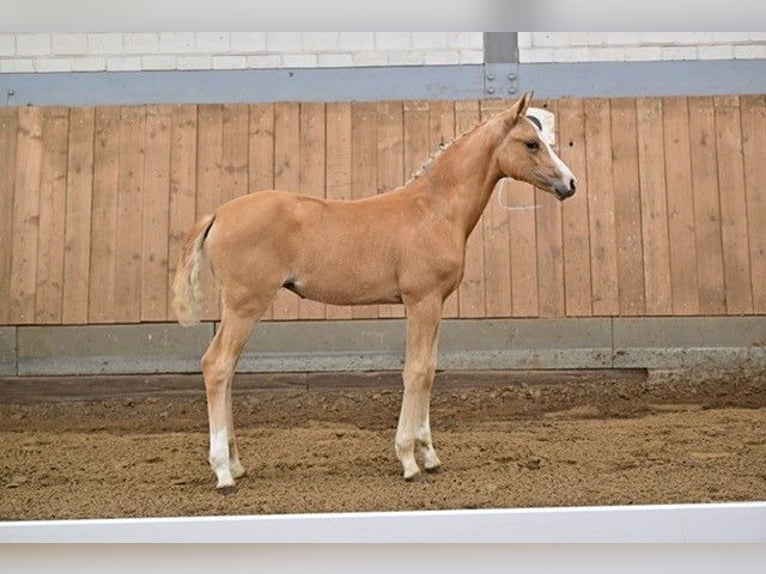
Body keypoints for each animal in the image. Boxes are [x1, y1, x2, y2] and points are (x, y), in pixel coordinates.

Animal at [172, 92, 577, 492]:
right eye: (531, 143)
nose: (570, 183)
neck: (434, 210)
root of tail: (217, 214)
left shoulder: (436, 304)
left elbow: (430, 369)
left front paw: (430, 456)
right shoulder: (421, 301)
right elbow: (415, 371)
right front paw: (409, 460)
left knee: (226, 369)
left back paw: (237, 464)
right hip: (245, 304)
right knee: (217, 365)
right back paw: (224, 473)